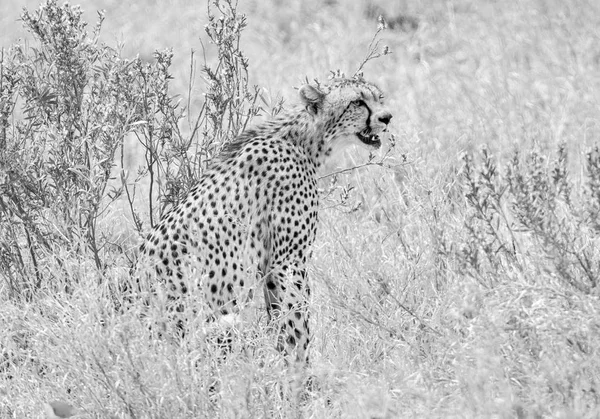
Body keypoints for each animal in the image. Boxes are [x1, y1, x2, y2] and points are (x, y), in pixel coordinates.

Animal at [141, 76, 394, 364]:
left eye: (379, 98)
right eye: (357, 102)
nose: (387, 117)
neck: (304, 140)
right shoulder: (287, 262)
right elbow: (296, 321)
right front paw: (300, 368)